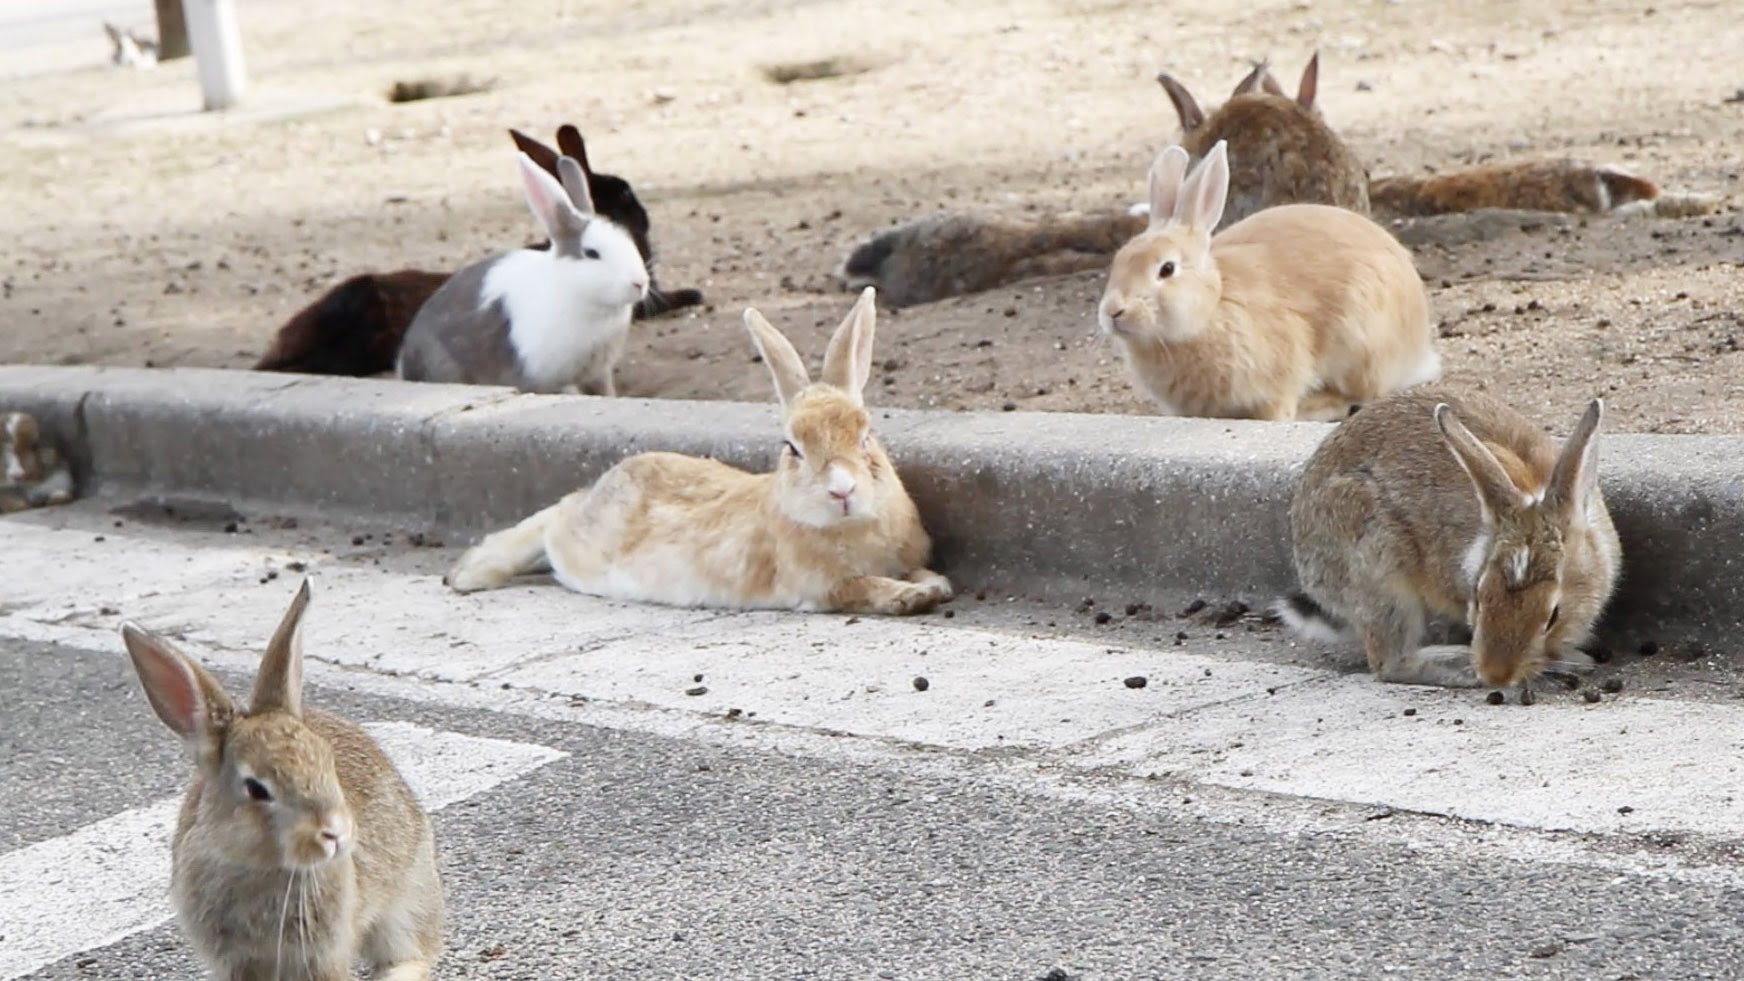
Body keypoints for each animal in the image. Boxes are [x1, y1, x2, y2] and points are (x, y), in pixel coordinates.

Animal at [118, 580, 444, 980]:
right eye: (257, 789)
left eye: (328, 762)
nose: (335, 833)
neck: (259, 865)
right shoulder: (238, 962)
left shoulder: (324, 954)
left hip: (408, 899)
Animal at [445, 286, 954, 616]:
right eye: (792, 448)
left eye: (865, 436)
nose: (842, 490)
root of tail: (604, 486)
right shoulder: (820, 587)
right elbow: (861, 587)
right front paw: (909, 597)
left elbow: (917, 571)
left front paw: (934, 586)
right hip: (575, 541)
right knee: (552, 522)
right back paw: (470, 574)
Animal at [1097, 140, 1440, 421]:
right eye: (1119, 260)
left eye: (1166, 269)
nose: (1113, 311)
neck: (1211, 308)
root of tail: (1416, 348)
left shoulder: (1278, 382)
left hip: (1361, 343)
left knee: (1363, 394)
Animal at [1280, 387, 1622, 693]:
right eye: (1479, 597)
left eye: (1554, 615)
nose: (1495, 675)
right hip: (1379, 570)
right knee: (1390, 662)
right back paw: (1458, 664)